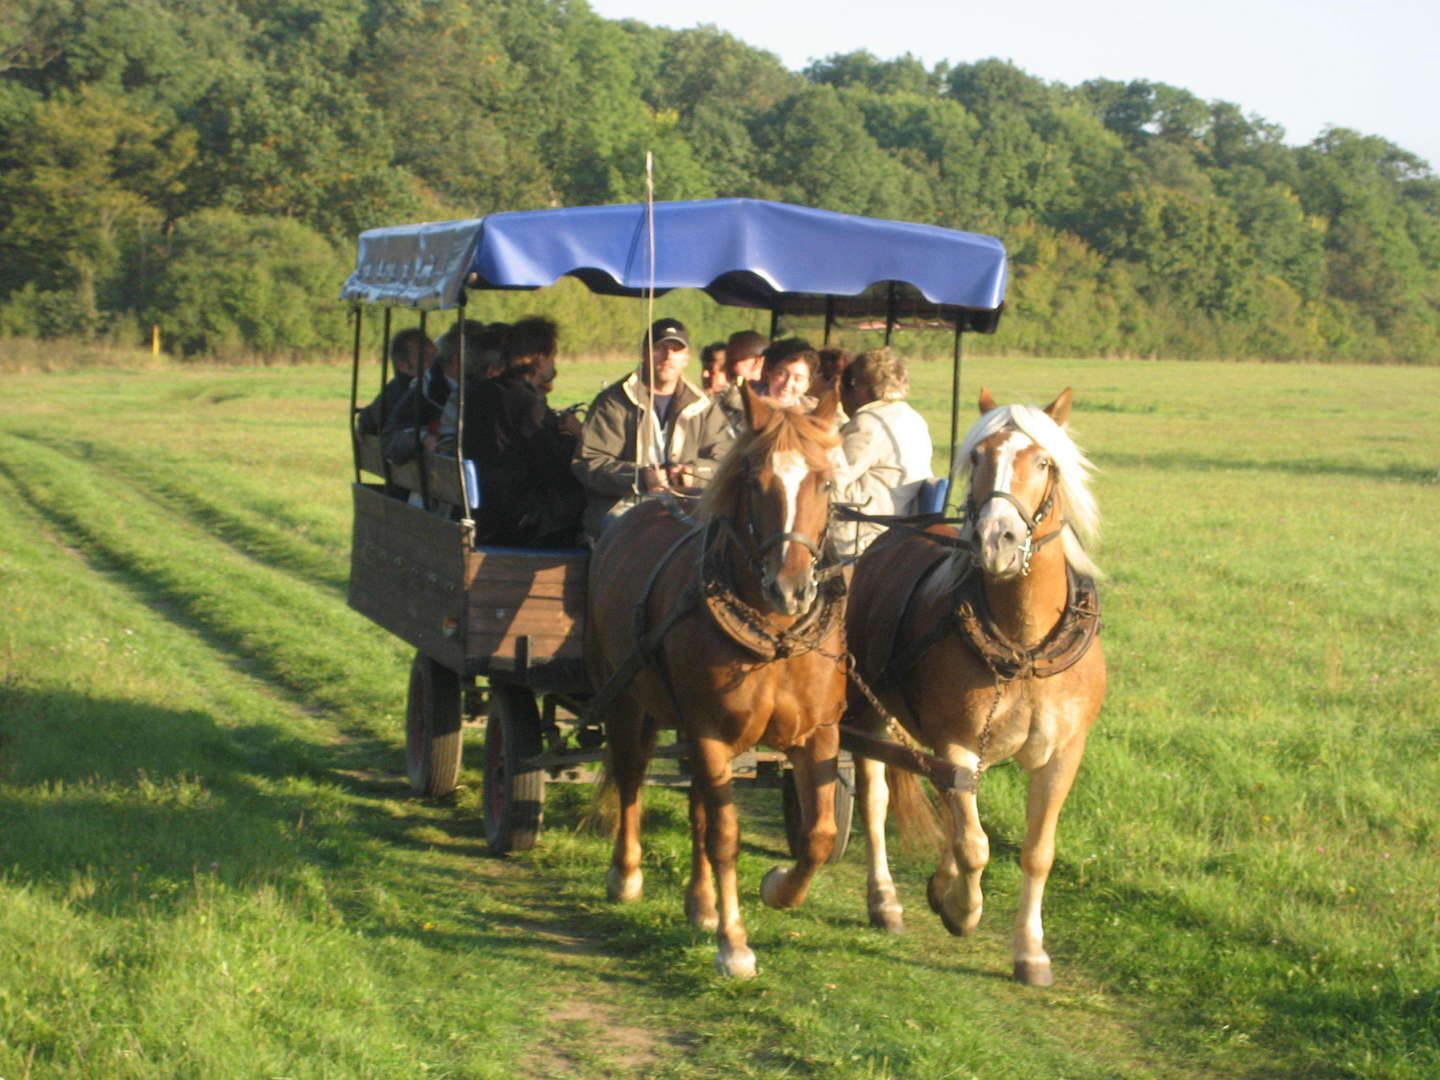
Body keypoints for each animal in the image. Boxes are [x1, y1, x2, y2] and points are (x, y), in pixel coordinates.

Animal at [584, 383, 846, 979]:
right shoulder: (710, 732)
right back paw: (626, 873)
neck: (775, 638)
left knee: (698, 807)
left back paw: (700, 902)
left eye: (825, 481)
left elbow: (818, 835)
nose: (790, 589)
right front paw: (734, 944)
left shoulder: (818, 732)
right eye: (756, 482)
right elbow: (726, 835)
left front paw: (778, 889)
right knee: (632, 775)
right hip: (624, 695)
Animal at [840, 388, 1100, 990]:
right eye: (978, 456)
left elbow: (1036, 851)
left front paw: (1030, 950)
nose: (995, 540)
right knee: (878, 799)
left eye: (1044, 461)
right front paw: (962, 908)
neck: (1025, 645)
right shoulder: (956, 743)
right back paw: (885, 898)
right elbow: (975, 844)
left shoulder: (1063, 754)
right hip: (868, 712)